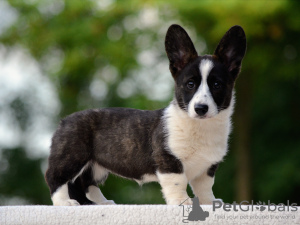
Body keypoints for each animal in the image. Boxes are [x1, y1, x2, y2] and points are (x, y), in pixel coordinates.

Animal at [44, 24, 246, 206]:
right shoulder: (169, 161)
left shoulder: (207, 168)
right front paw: (182, 202)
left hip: (95, 166)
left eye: (217, 85)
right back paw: (65, 202)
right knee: (56, 177)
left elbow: (205, 187)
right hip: (72, 156)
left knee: (84, 183)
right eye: (190, 84)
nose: (201, 108)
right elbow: (178, 183)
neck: (201, 126)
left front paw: (209, 203)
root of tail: (65, 120)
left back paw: (101, 203)